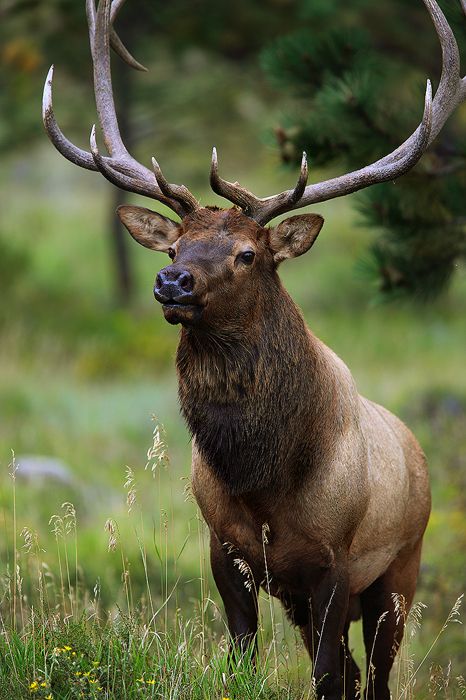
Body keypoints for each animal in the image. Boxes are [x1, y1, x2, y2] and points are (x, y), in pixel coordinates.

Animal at [43, 2, 466, 696]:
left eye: (247, 254)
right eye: (173, 245)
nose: (172, 281)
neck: (263, 484)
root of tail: (418, 453)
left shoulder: (337, 562)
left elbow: (325, 675)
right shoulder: (228, 554)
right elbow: (245, 656)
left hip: (401, 569)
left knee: (374, 673)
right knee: (353, 670)